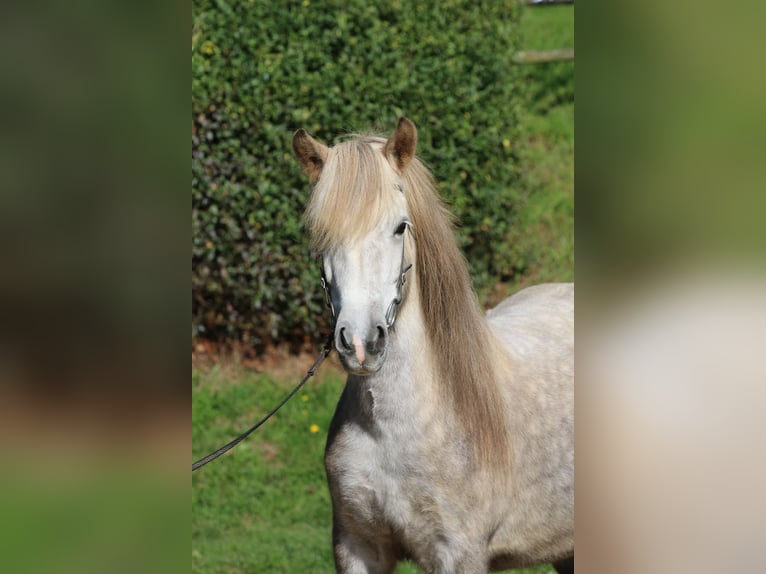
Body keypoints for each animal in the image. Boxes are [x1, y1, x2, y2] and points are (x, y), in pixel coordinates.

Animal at [292, 117, 573, 574]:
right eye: (319, 234)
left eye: (400, 227)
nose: (360, 342)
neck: (394, 428)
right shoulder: (356, 547)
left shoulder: (459, 555)